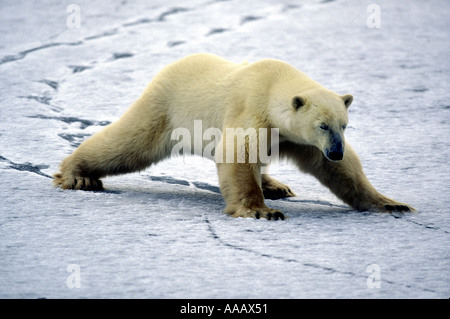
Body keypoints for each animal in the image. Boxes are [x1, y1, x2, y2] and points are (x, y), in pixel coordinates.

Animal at [53, 54, 414, 220]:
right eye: (323, 125)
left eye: (344, 125)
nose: (336, 150)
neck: (273, 85)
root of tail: (169, 66)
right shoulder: (253, 111)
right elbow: (238, 154)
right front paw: (263, 212)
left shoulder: (295, 139)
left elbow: (342, 172)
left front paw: (392, 203)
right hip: (165, 108)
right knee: (128, 143)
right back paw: (78, 175)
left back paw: (277, 185)